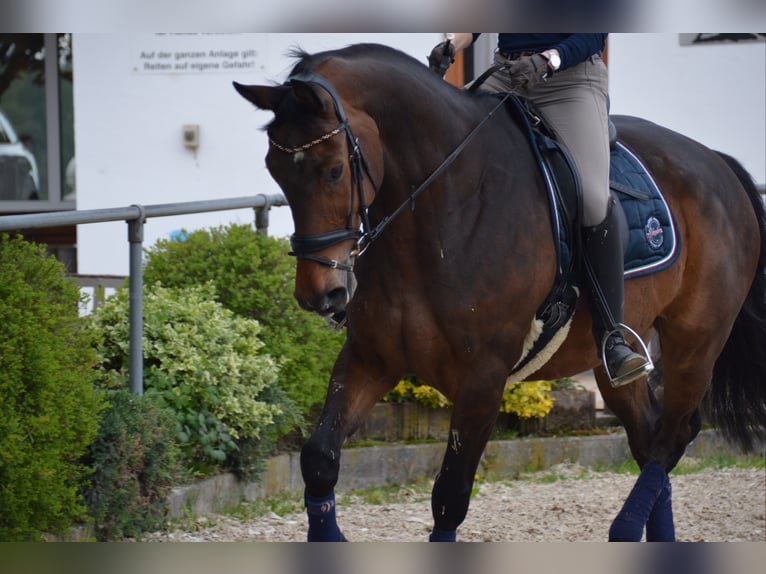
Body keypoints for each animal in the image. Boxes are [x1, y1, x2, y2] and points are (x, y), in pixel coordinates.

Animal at [236, 42, 766, 544]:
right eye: (273, 169)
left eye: (333, 170)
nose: (318, 294)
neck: (446, 208)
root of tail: (715, 161)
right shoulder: (371, 356)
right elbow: (319, 459)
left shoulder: (483, 378)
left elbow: (449, 497)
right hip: (614, 361)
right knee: (648, 435)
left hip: (694, 342)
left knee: (673, 435)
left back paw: (625, 527)